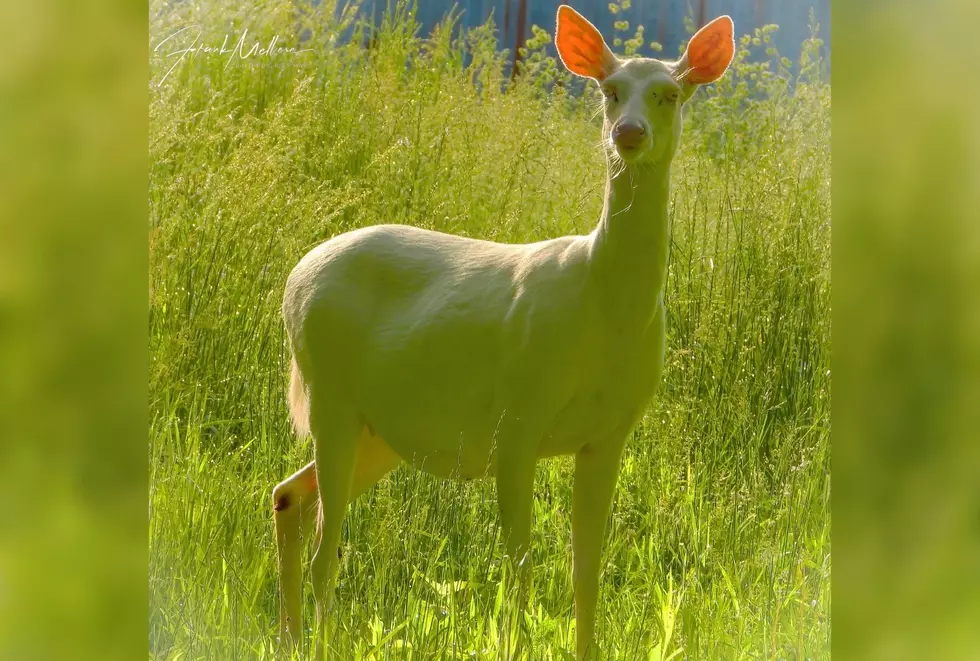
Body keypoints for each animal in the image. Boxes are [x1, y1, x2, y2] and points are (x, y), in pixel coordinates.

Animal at [272, 6, 732, 660]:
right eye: (610, 90)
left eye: (671, 93)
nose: (628, 133)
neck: (605, 311)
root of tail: (295, 276)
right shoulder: (517, 419)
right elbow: (520, 570)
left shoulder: (609, 433)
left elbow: (586, 572)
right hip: (329, 397)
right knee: (324, 552)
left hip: (379, 432)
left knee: (287, 495)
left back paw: (286, 637)